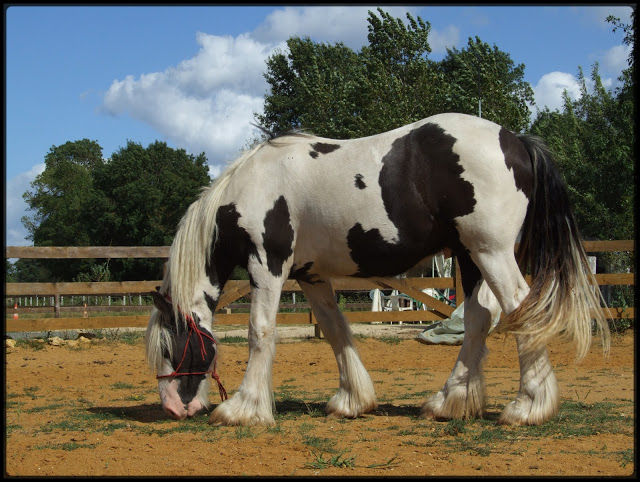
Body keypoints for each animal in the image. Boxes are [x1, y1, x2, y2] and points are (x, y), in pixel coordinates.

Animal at [145, 112, 608, 426]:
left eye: (170, 347)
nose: (173, 408)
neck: (255, 185)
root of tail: (516, 141)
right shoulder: (311, 275)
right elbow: (335, 331)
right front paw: (351, 400)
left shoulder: (268, 265)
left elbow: (259, 331)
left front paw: (242, 408)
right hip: (470, 255)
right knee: (479, 319)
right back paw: (450, 401)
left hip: (491, 252)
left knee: (519, 309)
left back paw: (527, 406)